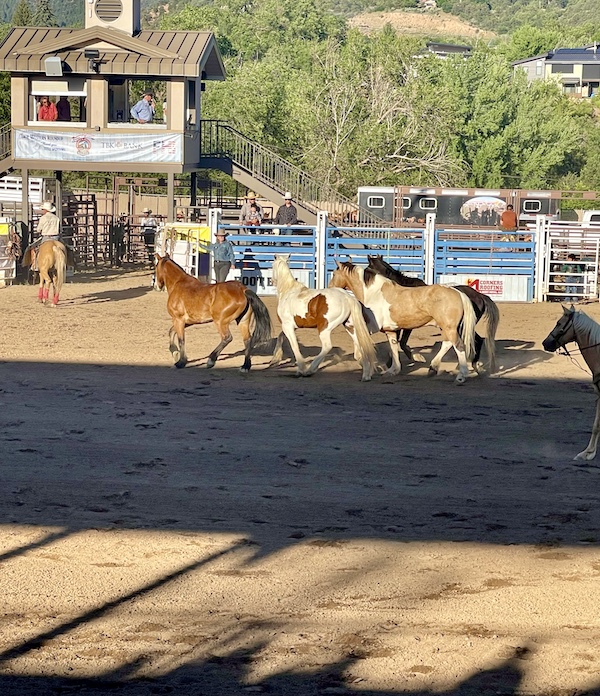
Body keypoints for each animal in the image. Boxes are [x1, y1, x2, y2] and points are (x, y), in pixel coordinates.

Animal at [366, 254, 502, 376]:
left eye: (367, 268)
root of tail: (480, 296)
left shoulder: (404, 326)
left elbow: (401, 343)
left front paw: (413, 358)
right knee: (476, 340)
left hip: (460, 326)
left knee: (475, 340)